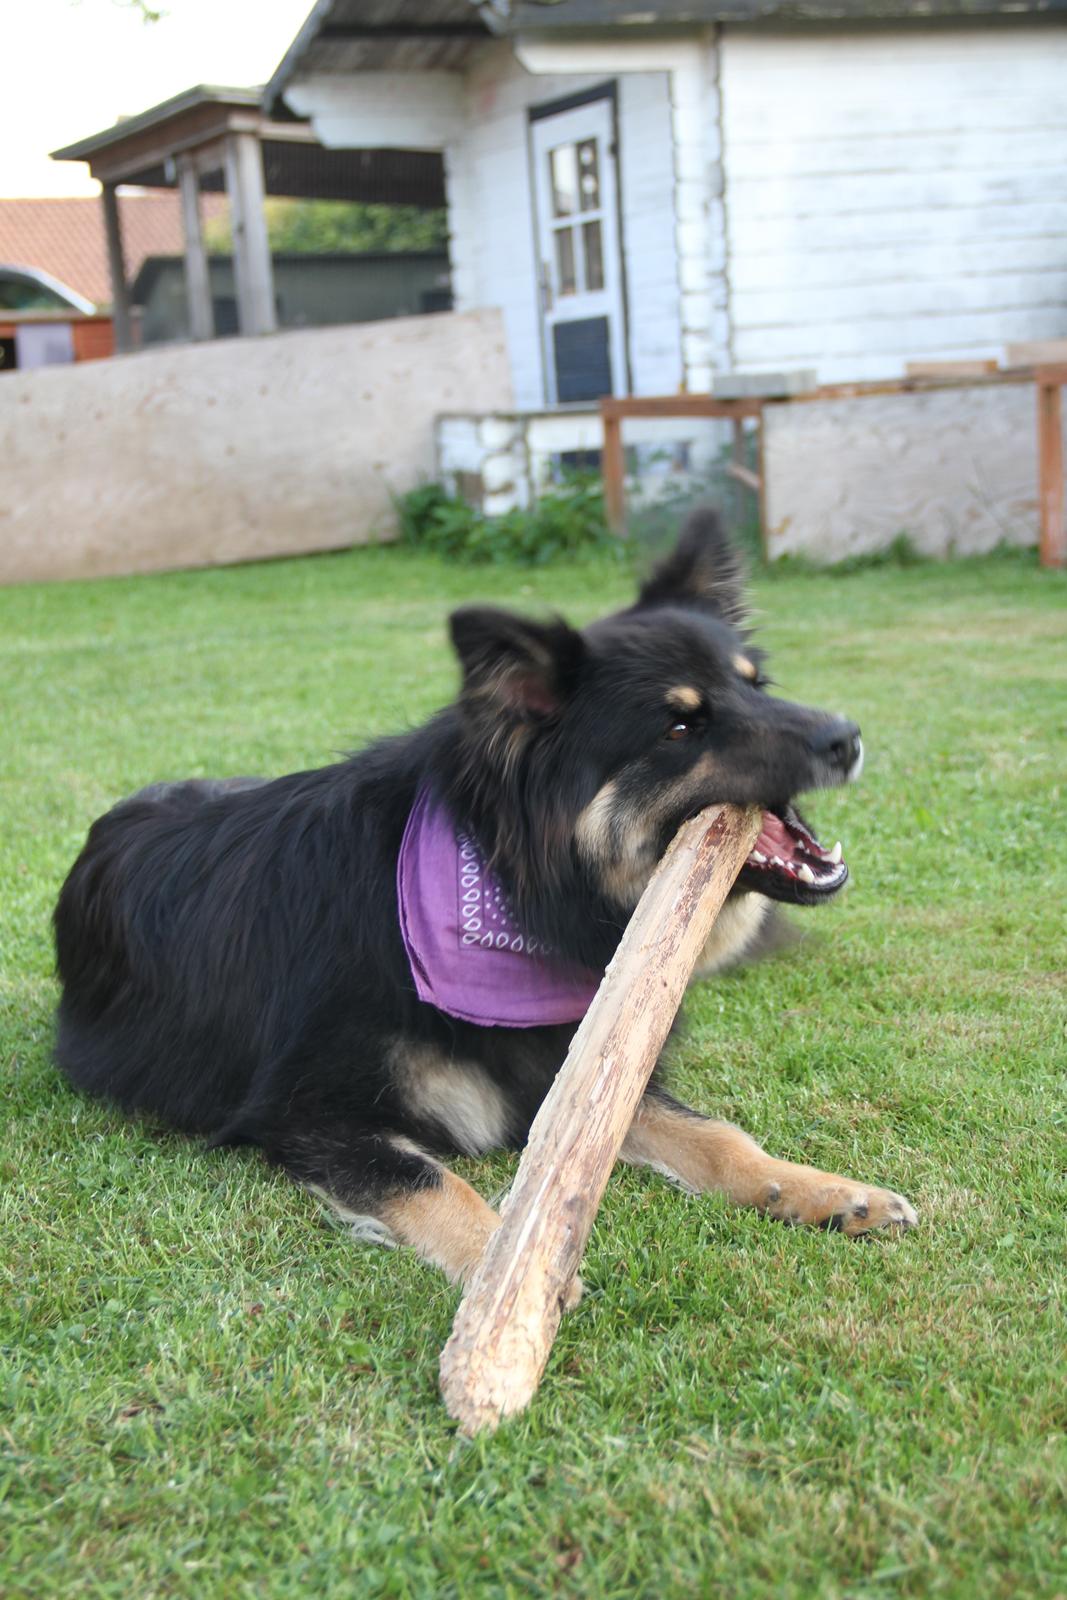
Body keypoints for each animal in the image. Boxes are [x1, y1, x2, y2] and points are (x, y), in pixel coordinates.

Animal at [51, 518, 921, 1292]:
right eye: (679, 726)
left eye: (755, 684)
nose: (846, 737)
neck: (516, 890)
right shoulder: (300, 1112)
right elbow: (431, 1180)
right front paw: (507, 1273)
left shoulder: (573, 1070)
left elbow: (717, 1137)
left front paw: (821, 1189)